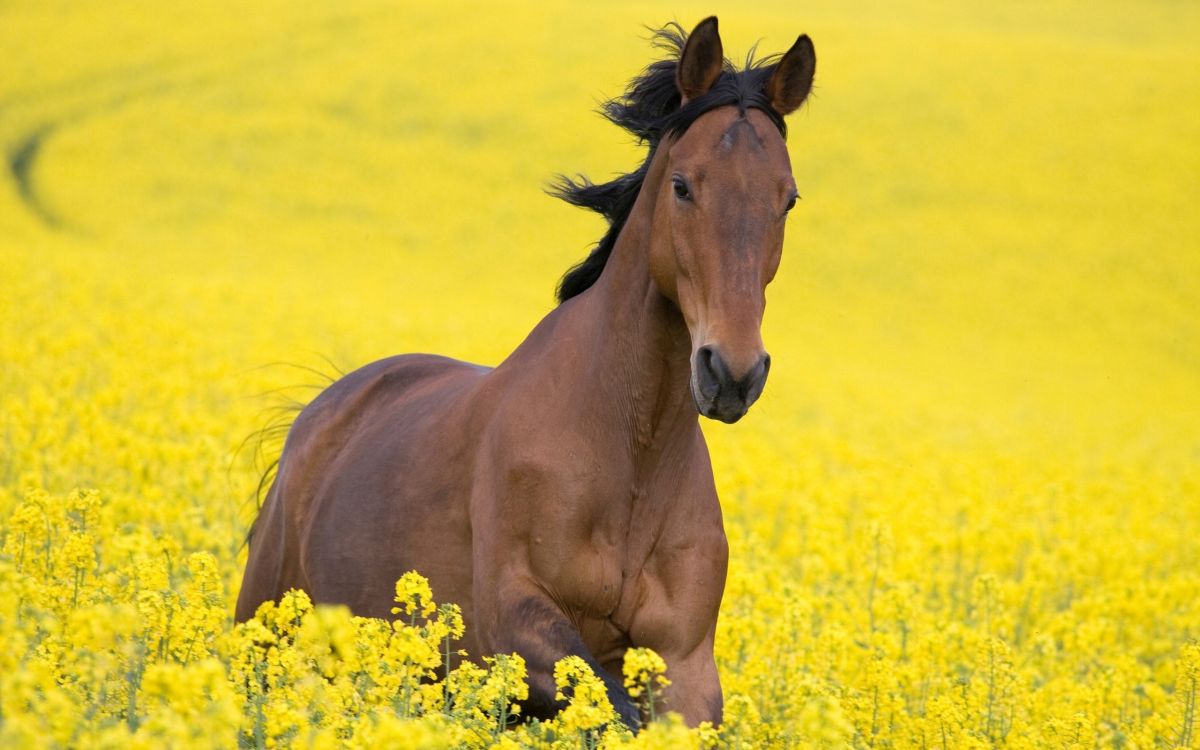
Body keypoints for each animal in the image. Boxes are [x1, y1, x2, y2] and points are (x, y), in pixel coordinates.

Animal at [236, 16, 816, 728]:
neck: (630, 454)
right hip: (264, 641)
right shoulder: (514, 624)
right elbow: (611, 710)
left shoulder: (684, 660)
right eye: (683, 185)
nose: (731, 374)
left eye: (787, 200)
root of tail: (319, 414)